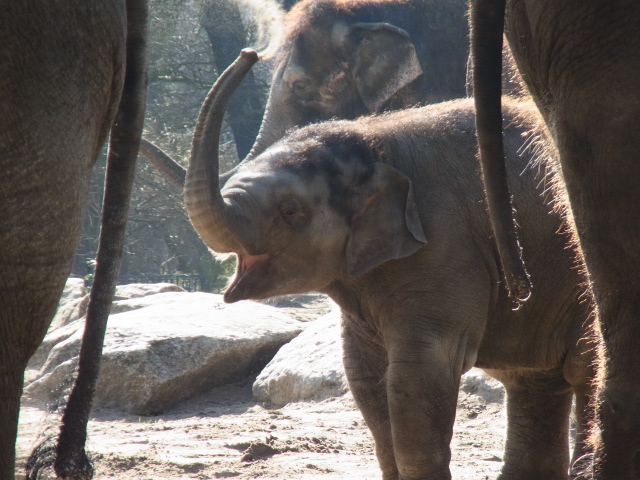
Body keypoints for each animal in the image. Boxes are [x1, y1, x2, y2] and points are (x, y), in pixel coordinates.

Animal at [186, 50, 596, 478]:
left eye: (290, 210)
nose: (250, 54)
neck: (373, 141)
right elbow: (365, 374)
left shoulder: (446, 247)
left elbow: (420, 370)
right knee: (533, 382)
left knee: (580, 369)